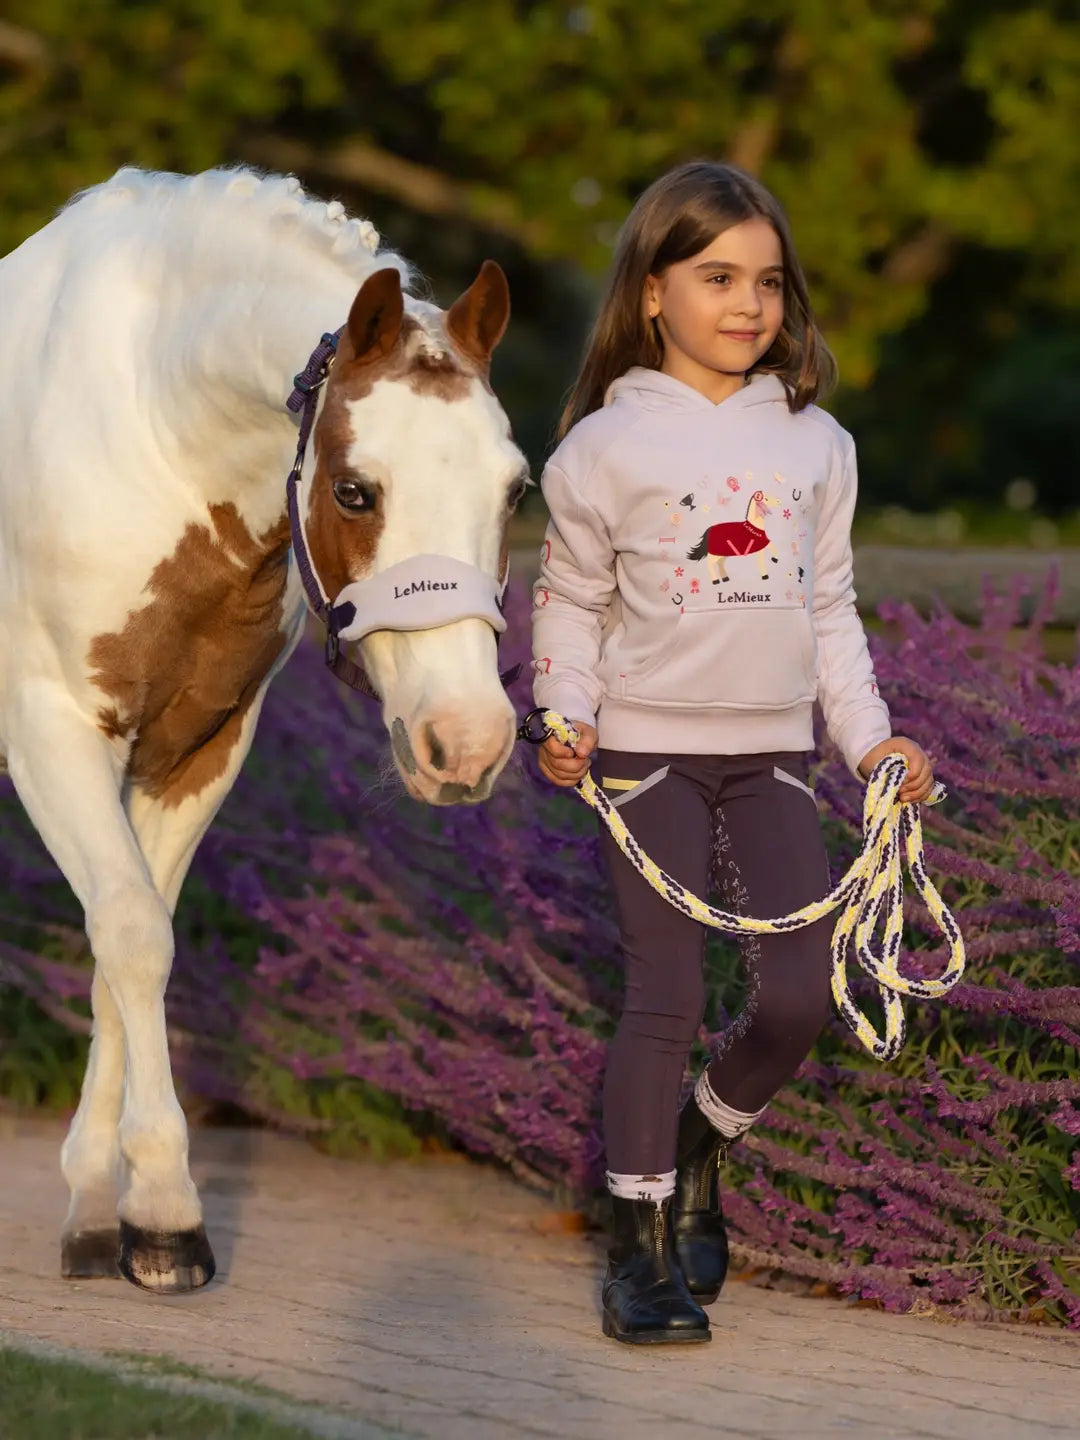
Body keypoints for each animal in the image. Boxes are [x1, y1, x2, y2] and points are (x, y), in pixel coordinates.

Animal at [0, 167, 528, 1292]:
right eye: (355, 489)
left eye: (516, 487)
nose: (465, 743)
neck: (147, 423)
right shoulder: (53, 733)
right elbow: (132, 936)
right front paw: (167, 1215)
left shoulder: (198, 748)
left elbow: (124, 948)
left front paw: (105, 1213)